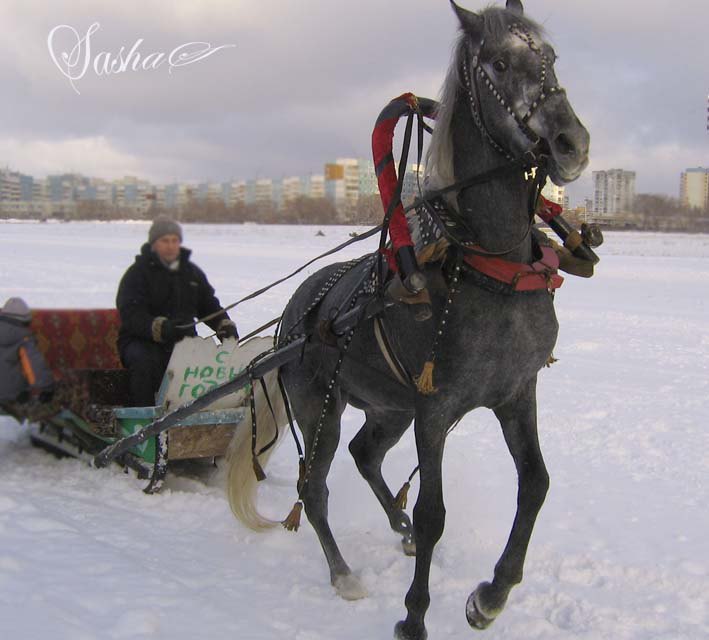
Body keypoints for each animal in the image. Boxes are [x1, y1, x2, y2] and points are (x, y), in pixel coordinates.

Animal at [225, 2, 588, 636]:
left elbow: (536, 484)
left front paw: (490, 594)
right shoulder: (435, 411)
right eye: (498, 63)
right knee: (314, 488)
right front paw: (414, 615)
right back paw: (344, 573)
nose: (572, 142)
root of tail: (295, 315)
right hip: (322, 407)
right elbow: (434, 511)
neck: (489, 266)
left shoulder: (516, 393)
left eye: (550, 56)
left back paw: (397, 529)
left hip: (388, 409)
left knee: (365, 455)